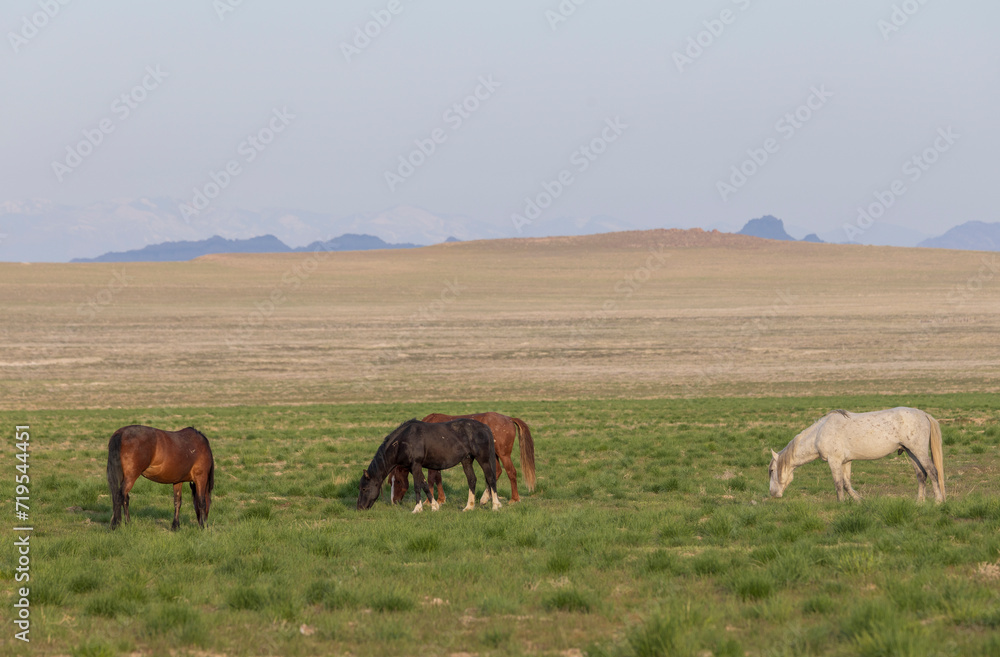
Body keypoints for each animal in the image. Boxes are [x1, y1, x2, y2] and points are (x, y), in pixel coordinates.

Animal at [357, 418, 501, 513]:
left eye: (364, 489)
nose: (359, 507)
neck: (404, 441)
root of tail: (484, 427)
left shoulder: (416, 465)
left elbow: (417, 486)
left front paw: (417, 508)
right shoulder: (413, 467)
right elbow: (425, 485)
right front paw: (434, 506)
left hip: (484, 459)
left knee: (491, 478)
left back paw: (495, 506)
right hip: (467, 460)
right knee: (472, 480)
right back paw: (469, 507)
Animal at [388, 412, 535, 505]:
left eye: (398, 481)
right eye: (390, 482)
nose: (394, 501)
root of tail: (509, 418)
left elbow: (430, 479)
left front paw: (429, 501)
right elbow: (438, 478)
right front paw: (441, 499)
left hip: (503, 455)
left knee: (511, 472)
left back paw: (514, 499)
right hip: (493, 455)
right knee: (496, 472)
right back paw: (485, 498)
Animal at [768, 407, 945, 503]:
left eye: (771, 471)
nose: (773, 494)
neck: (819, 433)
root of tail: (923, 414)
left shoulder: (834, 461)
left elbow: (838, 484)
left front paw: (840, 503)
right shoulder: (846, 462)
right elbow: (847, 484)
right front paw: (860, 501)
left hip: (919, 451)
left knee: (932, 472)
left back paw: (938, 501)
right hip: (911, 452)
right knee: (921, 475)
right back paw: (919, 502)